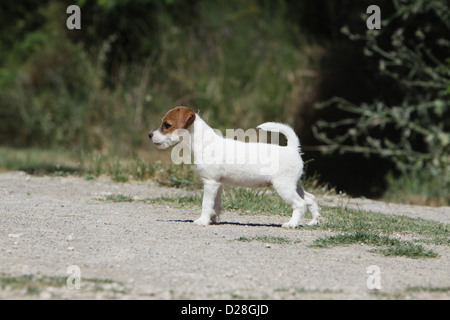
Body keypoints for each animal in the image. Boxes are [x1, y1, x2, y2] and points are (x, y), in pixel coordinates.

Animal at [149, 105, 320, 228]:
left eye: (167, 125)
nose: (150, 134)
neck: (203, 142)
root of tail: (292, 148)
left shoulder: (210, 183)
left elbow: (206, 204)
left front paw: (202, 221)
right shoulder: (217, 184)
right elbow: (215, 205)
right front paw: (213, 219)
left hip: (283, 186)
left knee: (300, 204)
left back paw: (291, 224)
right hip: (294, 185)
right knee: (310, 199)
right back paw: (314, 221)